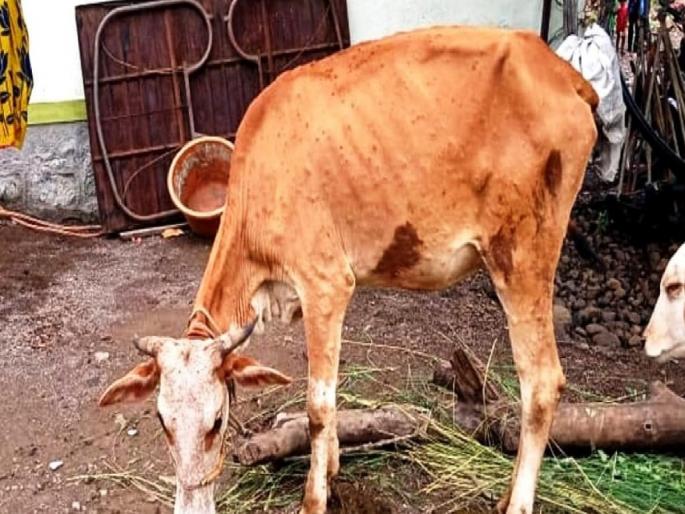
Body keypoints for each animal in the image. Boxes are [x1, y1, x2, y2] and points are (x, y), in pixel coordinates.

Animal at [98, 26, 598, 514]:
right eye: (161, 419)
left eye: (217, 421)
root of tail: (560, 72)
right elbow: (330, 391)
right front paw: (334, 468)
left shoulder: (326, 282)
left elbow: (317, 406)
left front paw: (314, 499)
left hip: (522, 255)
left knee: (541, 383)